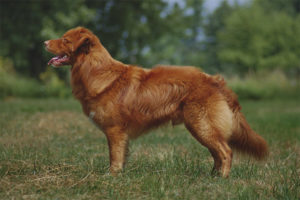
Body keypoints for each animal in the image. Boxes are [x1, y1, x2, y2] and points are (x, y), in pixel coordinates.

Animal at [44, 26, 268, 177]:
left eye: (65, 40)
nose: (44, 42)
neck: (96, 71)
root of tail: (215, 80)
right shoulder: (121, 134)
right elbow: (122, 155)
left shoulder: (115, 130)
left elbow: (114, 156)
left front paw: (112, 176)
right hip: (201, 126)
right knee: (217, 153)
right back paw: (212, 176)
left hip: (201, 124)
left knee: (226, 151)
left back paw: (221, 178)